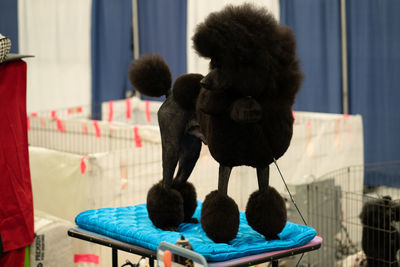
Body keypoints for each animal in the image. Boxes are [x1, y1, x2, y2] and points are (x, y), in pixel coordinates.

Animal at [130, 3, 302, 244]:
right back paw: (168, 223)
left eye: (222, 65)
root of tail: (170, 93)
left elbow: (265, 196)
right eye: (214, 62)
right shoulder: (226, 161)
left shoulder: (262, 162)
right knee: (166, 183)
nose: (203, 82)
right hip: (171, 144)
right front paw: (222, 236)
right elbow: (221, 199)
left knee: (179, 182)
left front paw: (271, 233)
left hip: (191, 150)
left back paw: (186, 217)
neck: (247, 110)